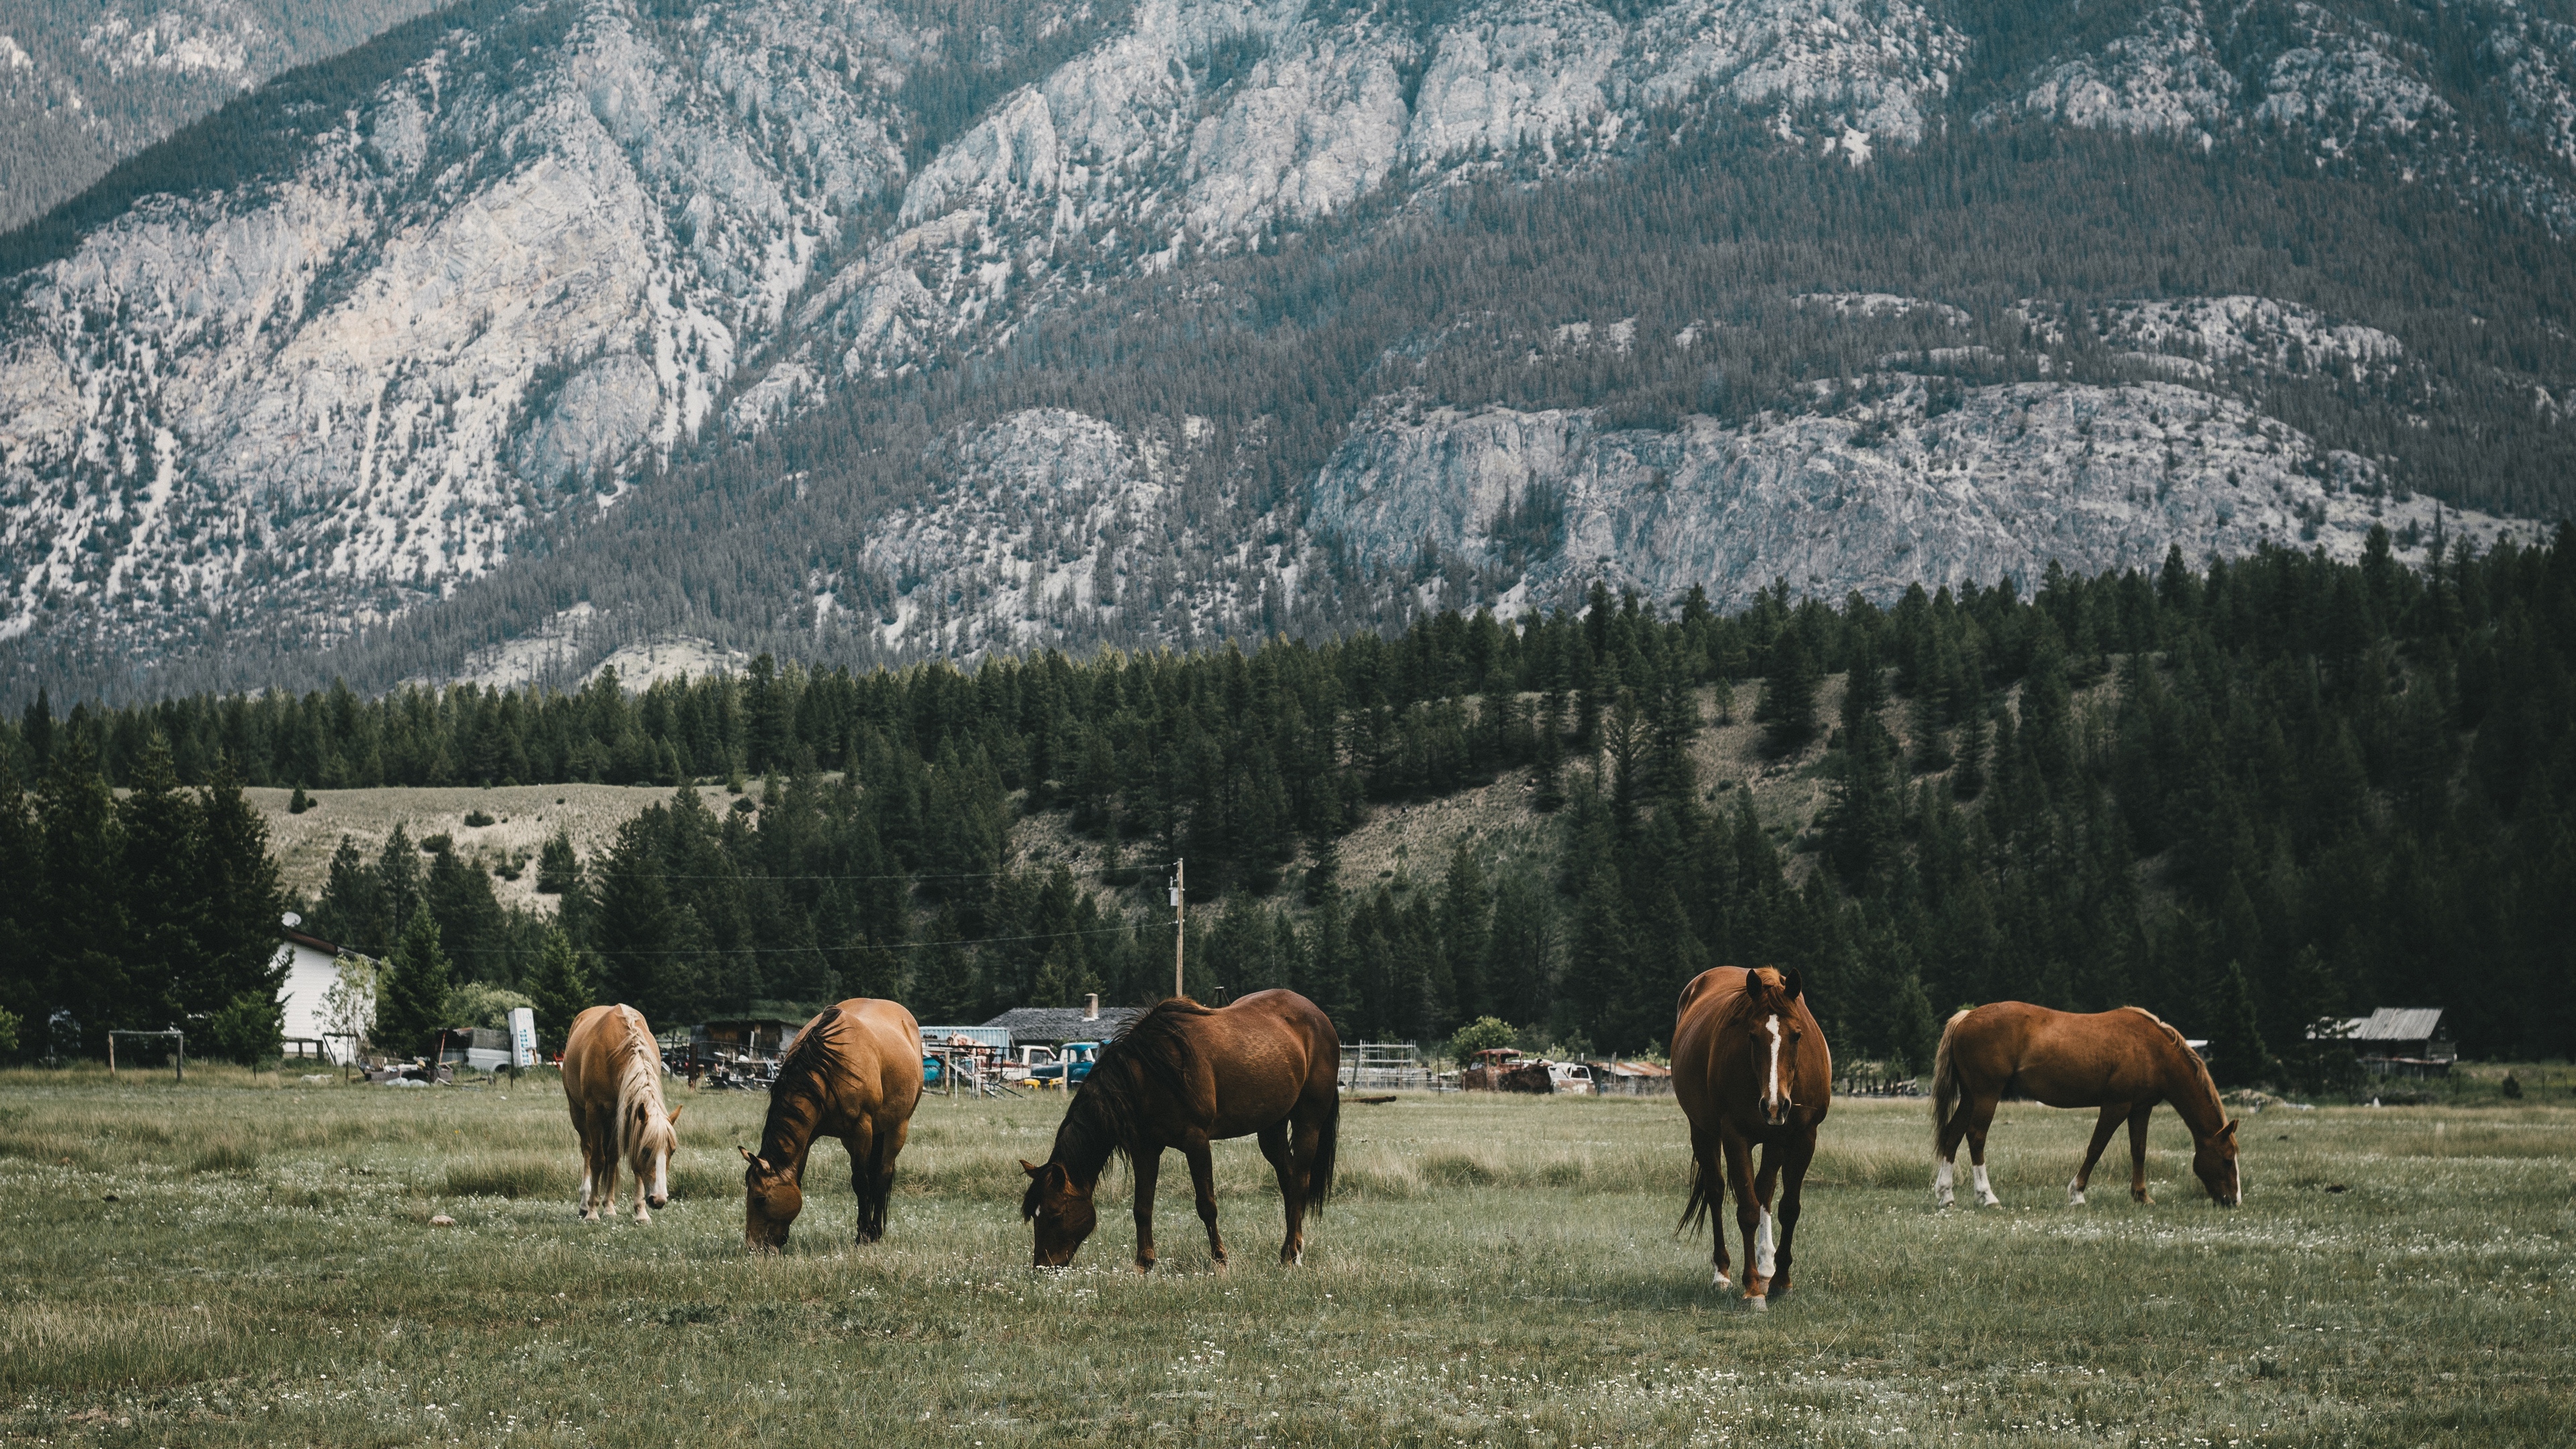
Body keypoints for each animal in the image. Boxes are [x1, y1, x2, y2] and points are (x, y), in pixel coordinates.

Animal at [561, 1005, 685, 1217]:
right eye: (646, 1150)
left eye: (673, 1150)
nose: (659, 1200)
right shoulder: (594, 1111)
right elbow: (597, 1160)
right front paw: (593, 1211)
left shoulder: (626, 1114)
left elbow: (615, 1159)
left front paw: (636, 1212)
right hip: (578, 1113)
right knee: (588, 1150)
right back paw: (585, 1203)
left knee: (610, 1157)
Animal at [741, 989, 922, 1252]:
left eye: (760, 1199)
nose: (754, 1247)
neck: (826, 1070)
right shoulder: (811, 1136)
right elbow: (799, 1177)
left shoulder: (861, 1129)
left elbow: (861, 1181)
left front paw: (863, 1235)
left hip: (898, 1126)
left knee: (882, 1174)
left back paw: (876, 1231)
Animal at [1025, 989, 1350, 1263]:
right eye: (1034, 1215)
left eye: (1055, 1214)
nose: (1042, 1266)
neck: (1149, 1074)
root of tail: (1320, 1018)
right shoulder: (1145, 1149)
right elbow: (1142, 1208)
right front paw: (1144, 1264)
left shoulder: (1196, 1142)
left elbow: (1206, 1205)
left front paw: (1220, 1261)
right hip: (1271, 1127)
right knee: (1289, 1179)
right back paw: (1293, 1247)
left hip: (1308, 1121)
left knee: (1301, 1180)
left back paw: (1291, 1254)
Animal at [1669, 964, 1834, 1304]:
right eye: (1752, 1035)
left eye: (1797, 1035)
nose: (1774, 1105)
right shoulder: (1735, 1136)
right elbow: (1746, 1210)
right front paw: (1753, 1289)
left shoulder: (1804, 1137)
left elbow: (1788, 1208)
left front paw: (1782, 1280)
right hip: (1702, 1132)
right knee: (1716, 1192)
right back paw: (1723, 1273)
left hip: (1775, 1141)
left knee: (1765, 1193)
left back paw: (1767, 1266)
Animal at [1937, 1000, 2236, 1201]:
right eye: (2227, 1159)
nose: (2233, 1200)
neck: (2151, 1049)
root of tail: (1966, 1017)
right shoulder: (2116, 1106)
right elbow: (2096, 1148)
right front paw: (2077, 1192)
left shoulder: (2141, 1108)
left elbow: (2138, 1150)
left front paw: (2141, 1196)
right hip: (1987, 1095)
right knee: (1976, 1136)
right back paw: (1987, 1196)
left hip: (1971, 1097)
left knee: (1953, 1134)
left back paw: (1946, 1193)